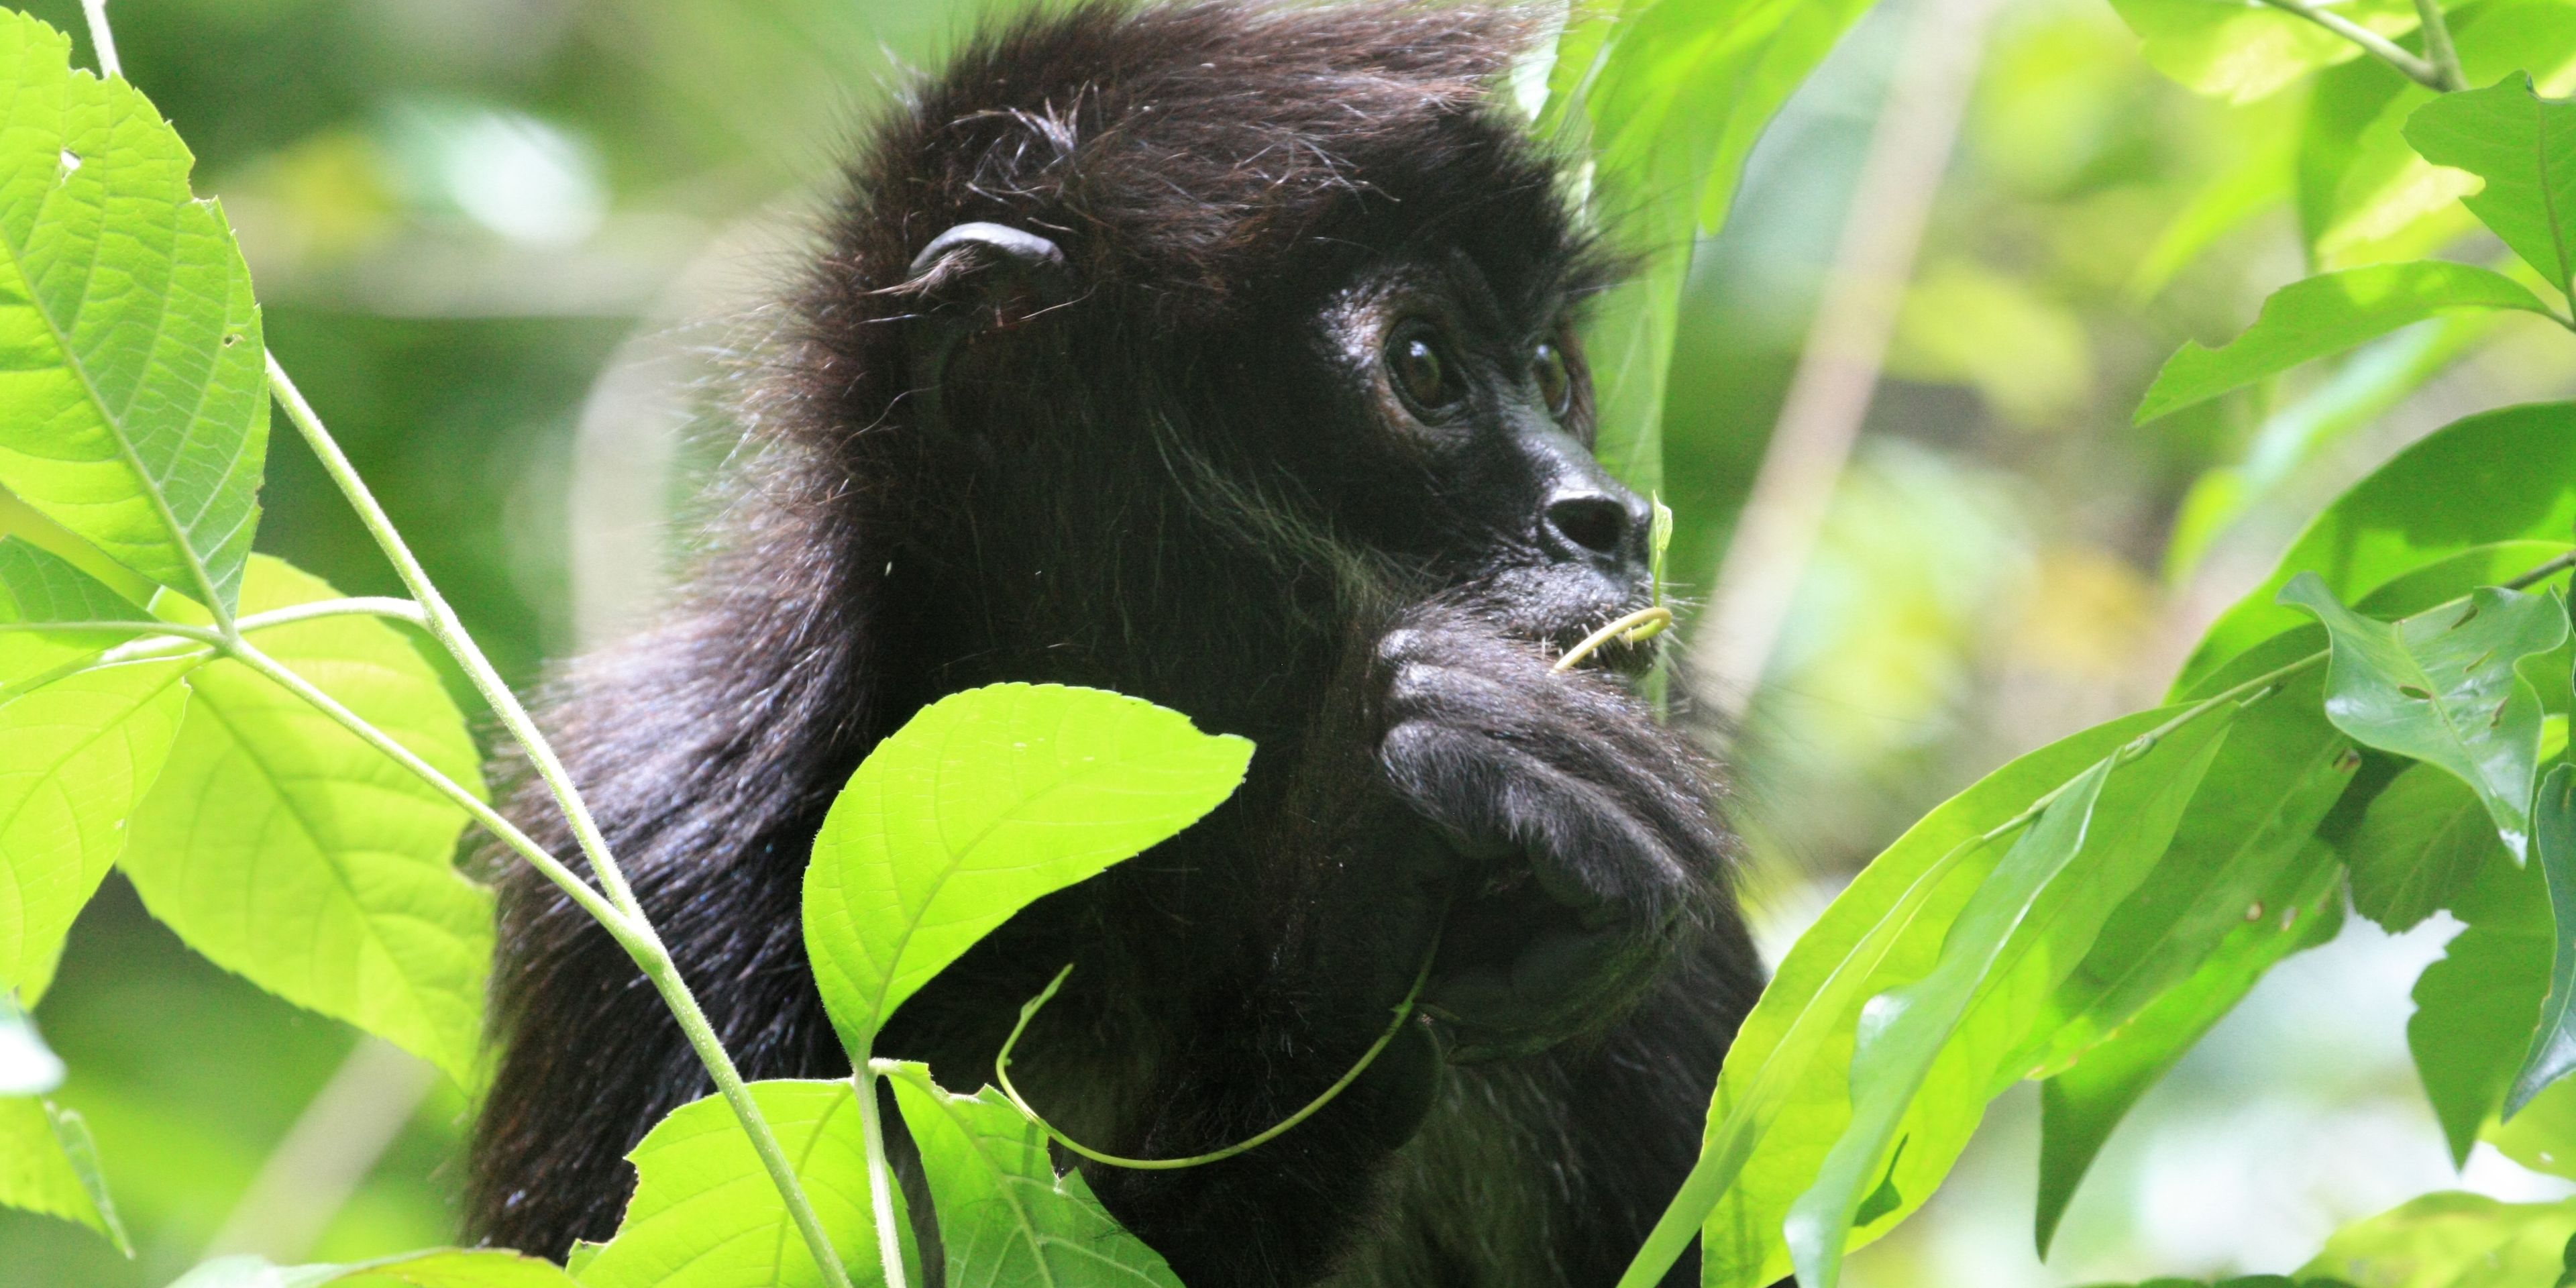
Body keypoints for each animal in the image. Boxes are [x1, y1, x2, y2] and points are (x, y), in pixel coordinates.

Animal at [467, 3, 1766, 1285]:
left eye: (1552, 373)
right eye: (1422, 367)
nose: (1611, 516)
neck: (1121, 904)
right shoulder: (652, 857)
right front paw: (1348, 903)